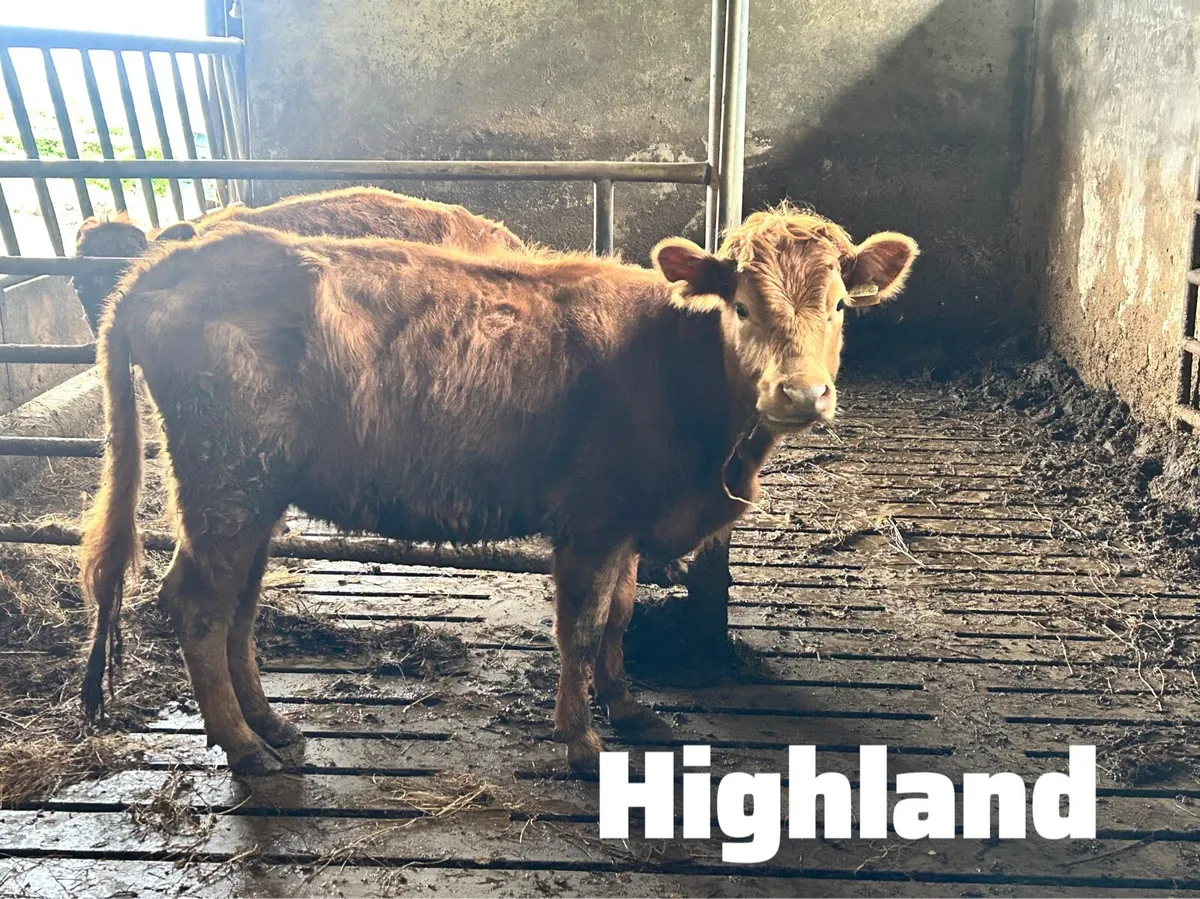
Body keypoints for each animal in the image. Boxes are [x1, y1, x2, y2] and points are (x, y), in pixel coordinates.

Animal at [78, 205, 917, 775]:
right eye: (740, 305)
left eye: (840, 305)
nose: (801, 394)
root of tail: (173, 262)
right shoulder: (589, 518)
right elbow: (579, 627)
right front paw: (581, 739)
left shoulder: (625, 522)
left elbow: (618, 618)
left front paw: (628, 704)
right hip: (225, 477)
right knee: (197, 601)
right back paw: (244, 746)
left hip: (255, 486)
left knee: (239, 604)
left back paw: (269, 724)